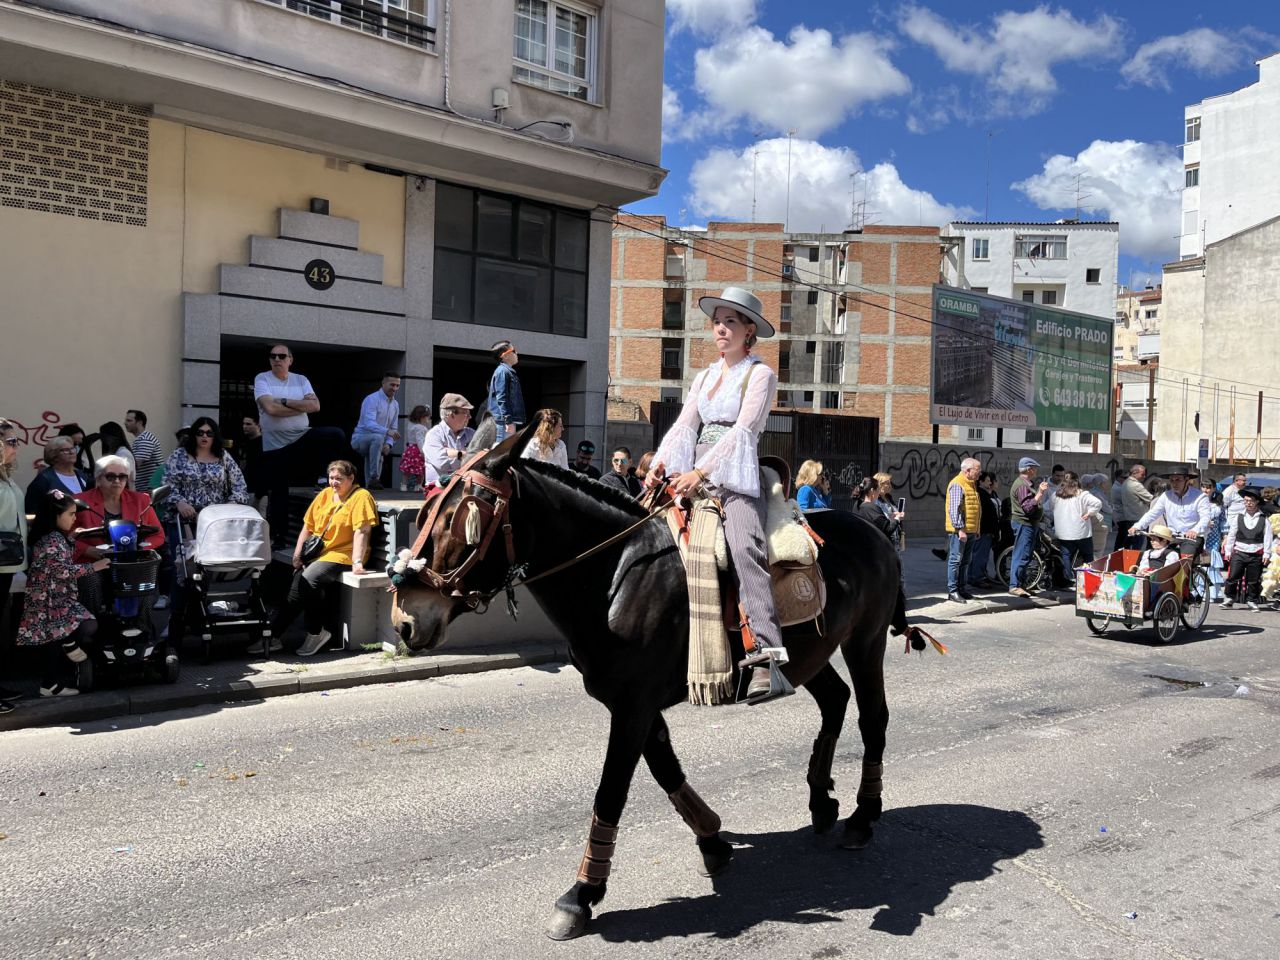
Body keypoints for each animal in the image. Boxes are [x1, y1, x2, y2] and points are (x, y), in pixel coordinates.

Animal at [394, 419, 926, 942]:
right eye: (425, 511)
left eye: (462, 518)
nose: (405, 619)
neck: (615, 574)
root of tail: (874, 530)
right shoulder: (632, 703)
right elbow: (666, 769)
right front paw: (712, 841)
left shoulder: (634, 704)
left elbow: (611, 789)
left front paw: (581, 893)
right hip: (809, 655)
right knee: (835, 701)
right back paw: (820, 800)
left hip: (865, 641)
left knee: (872, 717)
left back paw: (862, 816)